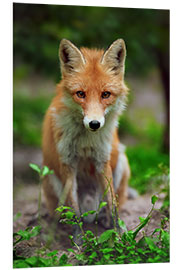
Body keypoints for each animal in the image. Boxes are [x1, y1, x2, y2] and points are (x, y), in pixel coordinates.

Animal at [42, 38, 131, 238]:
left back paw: (105, 221)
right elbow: (74, 210)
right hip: (49, 175)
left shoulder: (102, 161)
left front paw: (118, 234)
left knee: (111, 205)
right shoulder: (67, 163)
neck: (86, 141)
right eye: (80, 94)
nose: (94, 124)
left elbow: (112, 204)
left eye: (105, 94)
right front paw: (79, 239)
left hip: (121, 161)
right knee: (61, 213)